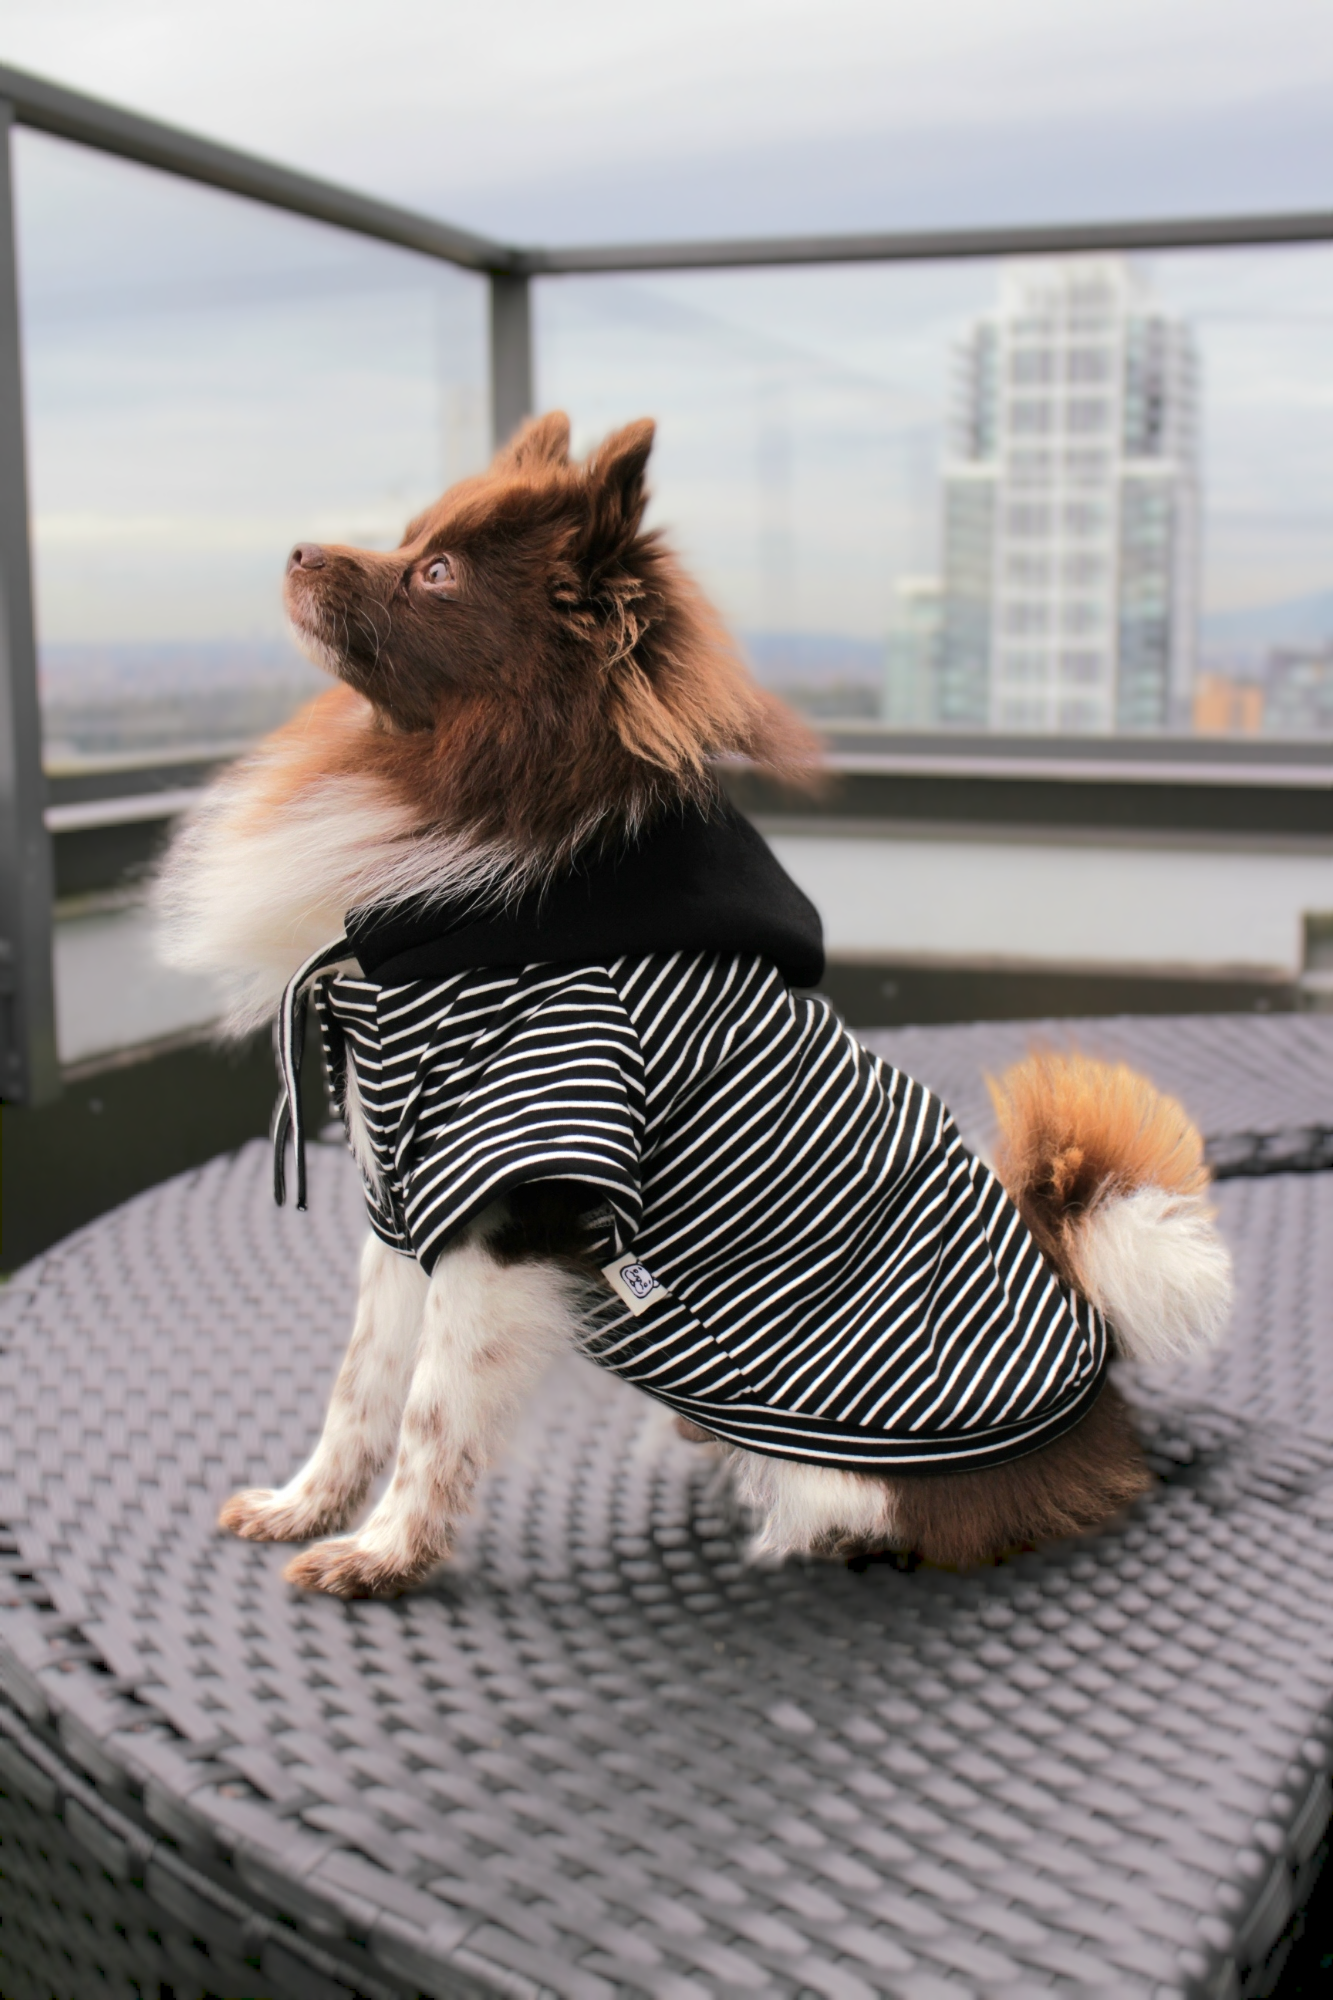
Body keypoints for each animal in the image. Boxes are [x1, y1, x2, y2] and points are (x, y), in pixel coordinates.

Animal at [161, 414, 1232, 1600]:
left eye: (435, 574)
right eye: (405, 539)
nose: (300, 549)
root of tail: (1100, 1364)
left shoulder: (506, 1210)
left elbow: (432, 1410)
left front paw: (386, 1553)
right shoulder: (407, 1203)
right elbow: (360, 1386)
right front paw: (305, 1506)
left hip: (857, 1462)